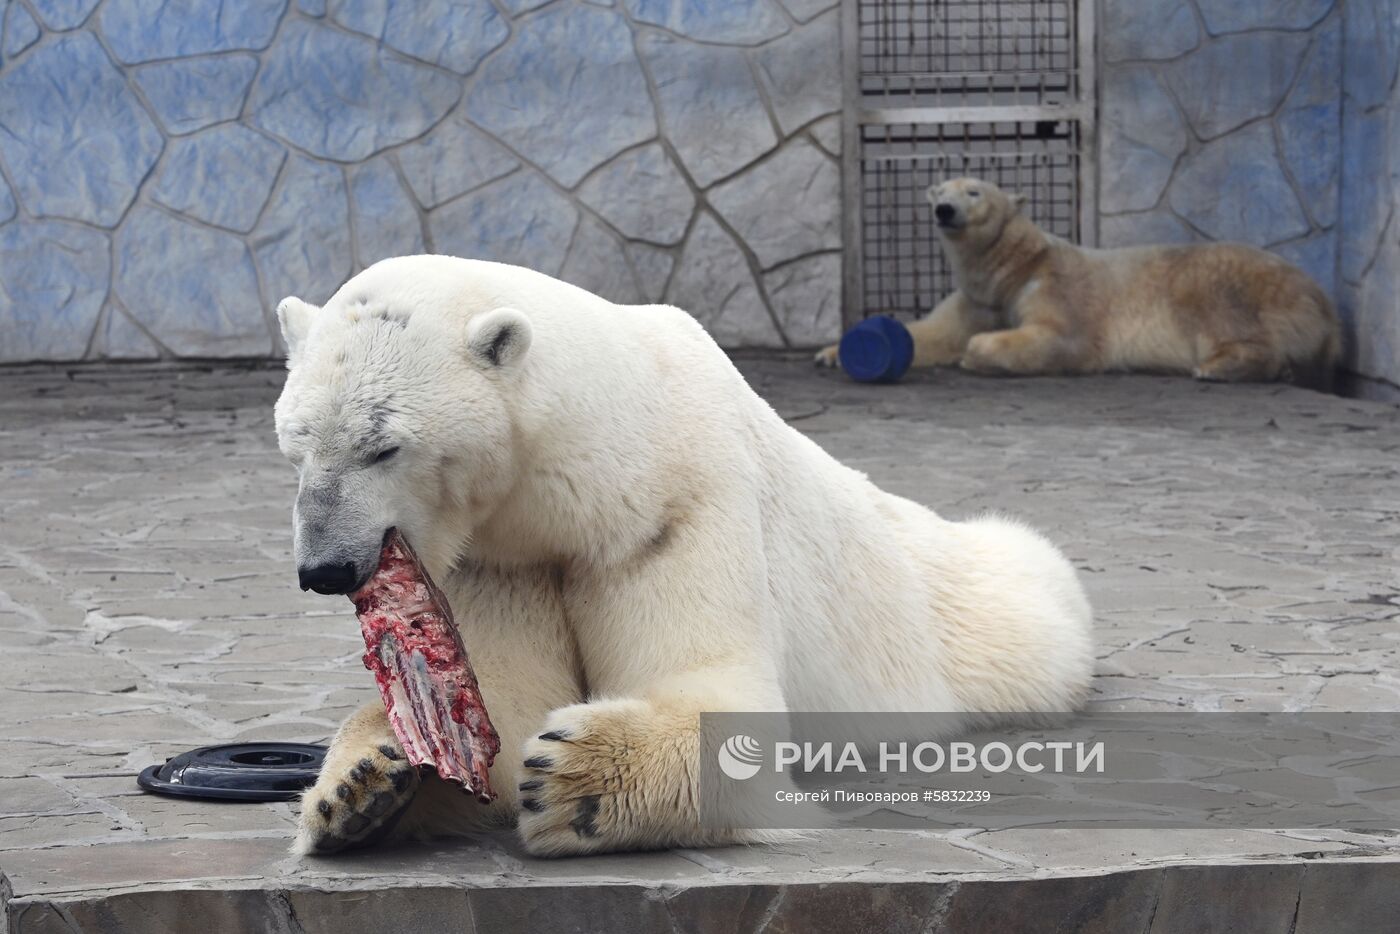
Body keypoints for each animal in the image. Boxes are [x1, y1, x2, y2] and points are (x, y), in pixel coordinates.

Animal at [267, 253, 1086, 856]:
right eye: (295, 444)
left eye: (383, 446)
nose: (325, 570)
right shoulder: (500, 556)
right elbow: (497, 699)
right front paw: (366, 783)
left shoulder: (673, 506)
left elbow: (713, 691)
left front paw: (575, 779)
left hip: (956, 608)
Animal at [817, 179, 1338, 386]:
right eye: (939, 190)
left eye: (974, 191)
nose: (944, 210)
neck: (1015, 266)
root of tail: (1323, 302)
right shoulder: (979, 298)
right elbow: (930, 333)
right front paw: (831, 353)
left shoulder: (1058, 286)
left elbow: (1061, 338)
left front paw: (977, 353)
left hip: (1222, 282)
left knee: (1222, 311)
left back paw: (1217, 366)